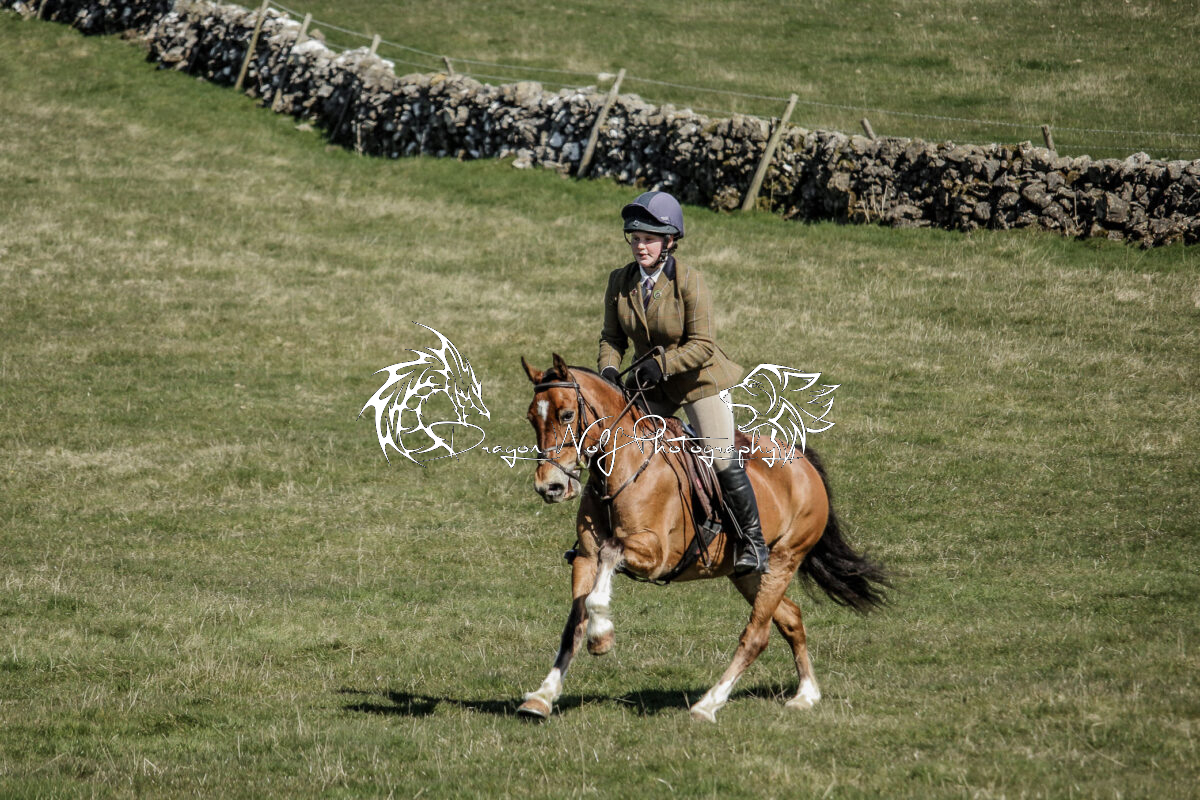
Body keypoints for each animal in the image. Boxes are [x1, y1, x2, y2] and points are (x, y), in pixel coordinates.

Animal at [517, 353, 888, 722]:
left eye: (567, 415)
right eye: (531, 416)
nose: (549, 486)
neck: (623, 465)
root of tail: (801, 460)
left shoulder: (654, 556)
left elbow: (608, 561)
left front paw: (601, 636)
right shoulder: (585, 558)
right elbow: (573, 624)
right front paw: (542, 696)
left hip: (785, 558)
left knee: (757, 635)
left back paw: (708, 704)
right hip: (747, 574)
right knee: (790, 618)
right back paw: (806, 694)